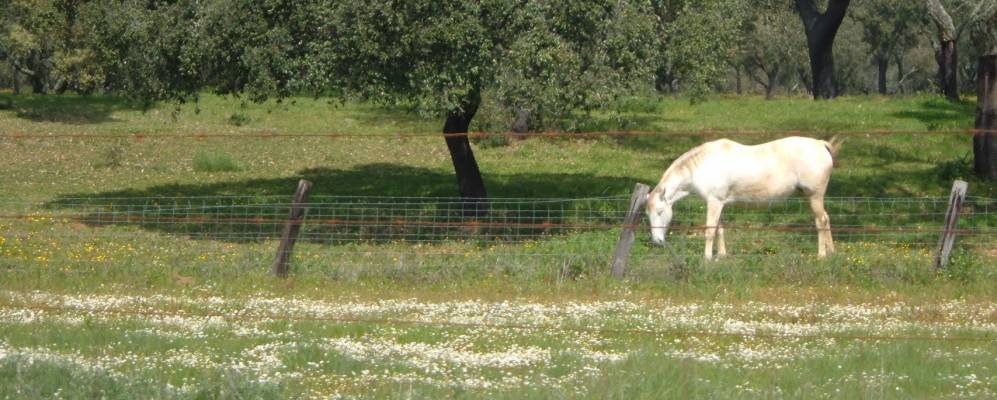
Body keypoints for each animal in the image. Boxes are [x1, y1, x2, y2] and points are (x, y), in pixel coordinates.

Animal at [644, 136, 840, 258]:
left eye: (660, 212)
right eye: (648, 214)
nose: (657, 241)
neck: (703, 164)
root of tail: (821, 144)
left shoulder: (714, 202)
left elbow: (710, 231)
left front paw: (707, 258)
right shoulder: (719, 203)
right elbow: (720, 229)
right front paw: (721, 256)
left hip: (814, 196)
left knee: (821, 221)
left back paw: (821, 255)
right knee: (827, 218)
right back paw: (831, 252)